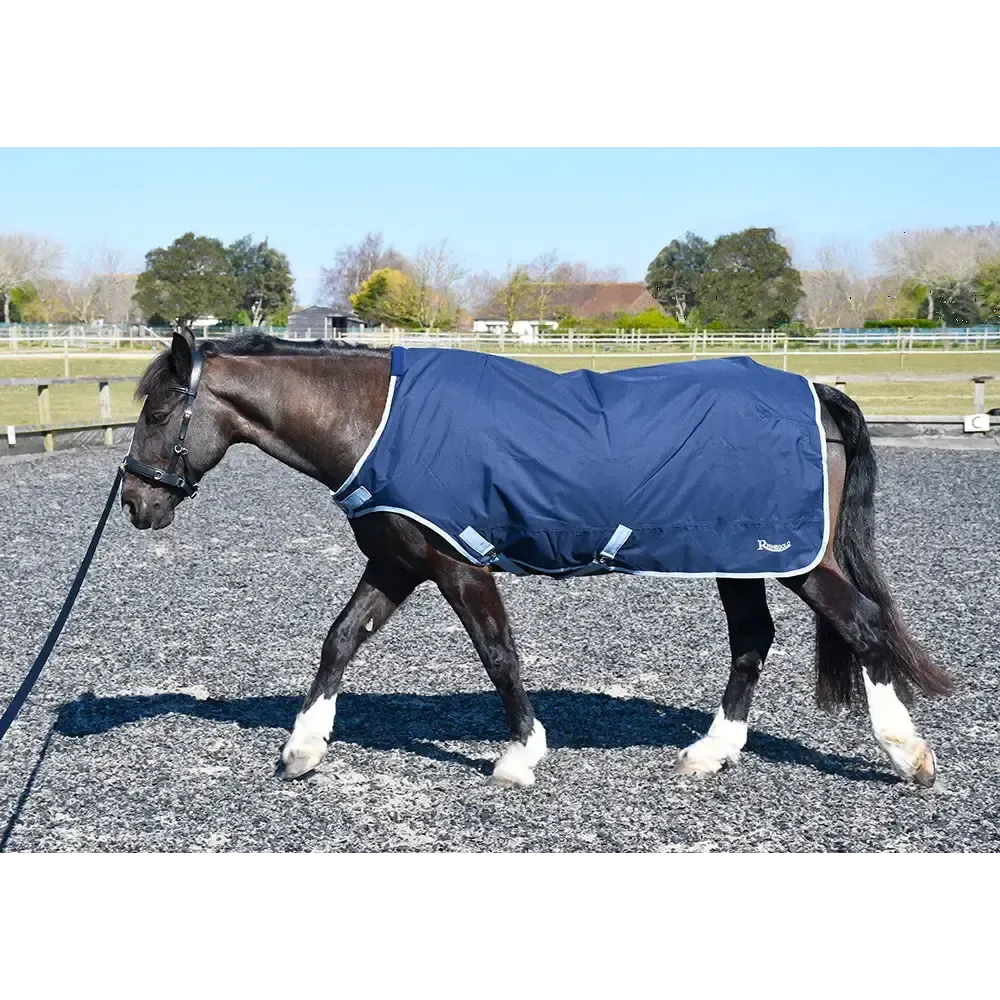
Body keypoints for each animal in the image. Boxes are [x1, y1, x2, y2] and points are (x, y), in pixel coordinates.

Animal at [120, 328, 953, 789]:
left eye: (158, 412)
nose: (134, 502)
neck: (377, 421)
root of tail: (816, 391)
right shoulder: (399, 563)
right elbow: (340, 640)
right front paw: (302, 749)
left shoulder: (459, 565)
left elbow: (499, 655)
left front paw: (520, 756)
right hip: (734, 558)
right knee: (753, 640)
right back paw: (710, 753)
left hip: (790, 559)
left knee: (863, 624)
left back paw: (907, 754)